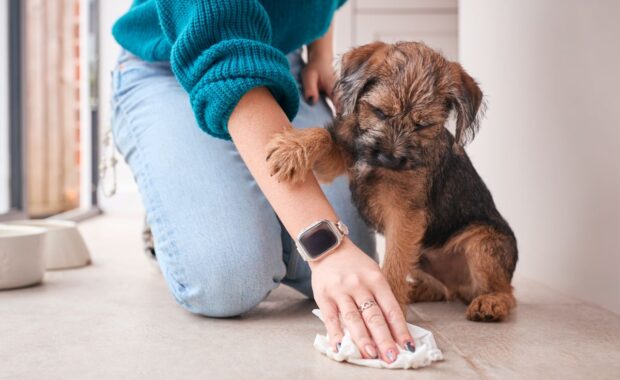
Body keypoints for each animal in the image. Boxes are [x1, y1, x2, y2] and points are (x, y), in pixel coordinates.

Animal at [266, 40, 520, 320]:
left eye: (423, 125)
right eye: (379, 111)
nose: (389, 157)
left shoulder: (404, 216)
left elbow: (395, 262)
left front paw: (392, 306)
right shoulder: (343, 156)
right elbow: (325, 136)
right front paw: (292, 148)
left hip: (482, 244)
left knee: (507, 292)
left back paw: (490, 303)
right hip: (422, 253)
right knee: (441, 289)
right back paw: (416, 291)